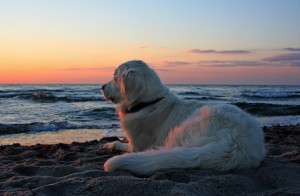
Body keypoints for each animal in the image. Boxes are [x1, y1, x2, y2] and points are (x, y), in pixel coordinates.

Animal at [102, 60, 266, 176]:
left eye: (114, 77)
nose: (102, 86)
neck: (149, 103)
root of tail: (235, 142)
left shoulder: (136, 145)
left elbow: (121, 144)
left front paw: (110, 144)